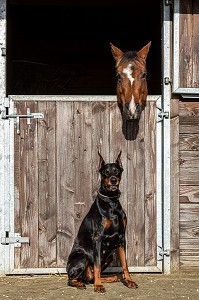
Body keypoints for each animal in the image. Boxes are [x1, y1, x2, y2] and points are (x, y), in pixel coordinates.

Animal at [66, 151, 138, 292]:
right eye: (106, 172)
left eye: (117, 171)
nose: (113, 179)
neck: (111, 202)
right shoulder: (98, 237)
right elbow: (97, 264)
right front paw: (98, 285)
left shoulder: (121, 238)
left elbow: (125, 264)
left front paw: (129, 281)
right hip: (82, 257)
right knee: (72, 279)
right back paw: (82, 283)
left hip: (109, 256)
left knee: (90, 277)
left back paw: (110, 278)